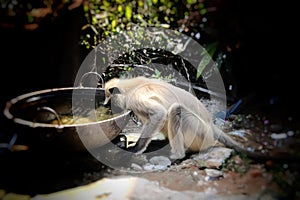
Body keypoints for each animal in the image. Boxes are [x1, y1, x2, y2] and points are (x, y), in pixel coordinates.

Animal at [104, 75, 288, 161]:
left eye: (109, 102)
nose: (107, 107)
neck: (130, 87)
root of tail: (210, 125)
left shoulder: (136, 97)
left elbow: (159, 113)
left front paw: (135, 149)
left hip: (200, 132)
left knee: (175, 110)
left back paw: (177, 155)